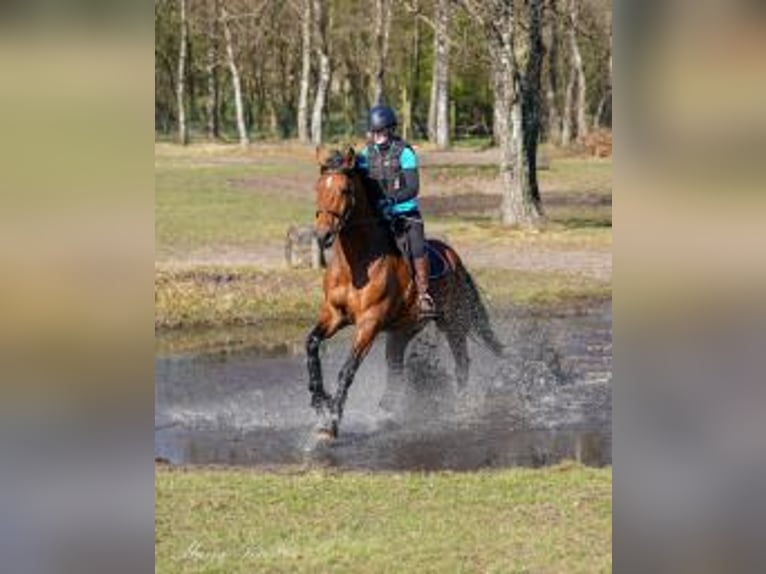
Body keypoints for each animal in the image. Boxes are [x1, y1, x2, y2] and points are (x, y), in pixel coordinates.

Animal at [306, 146, 504, 438]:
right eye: (318, 187)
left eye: (344, 189)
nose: (323, 235)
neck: (357, 265)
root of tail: (454, 258)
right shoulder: (334, 315)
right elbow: (311, 345)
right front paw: (319, 400)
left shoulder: (369, 322)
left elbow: (347, 370)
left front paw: (331, 421)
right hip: (402, 330)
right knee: (396, 370)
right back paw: (386, 413)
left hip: (452, 324)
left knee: (462, 363)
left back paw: (459, 407)